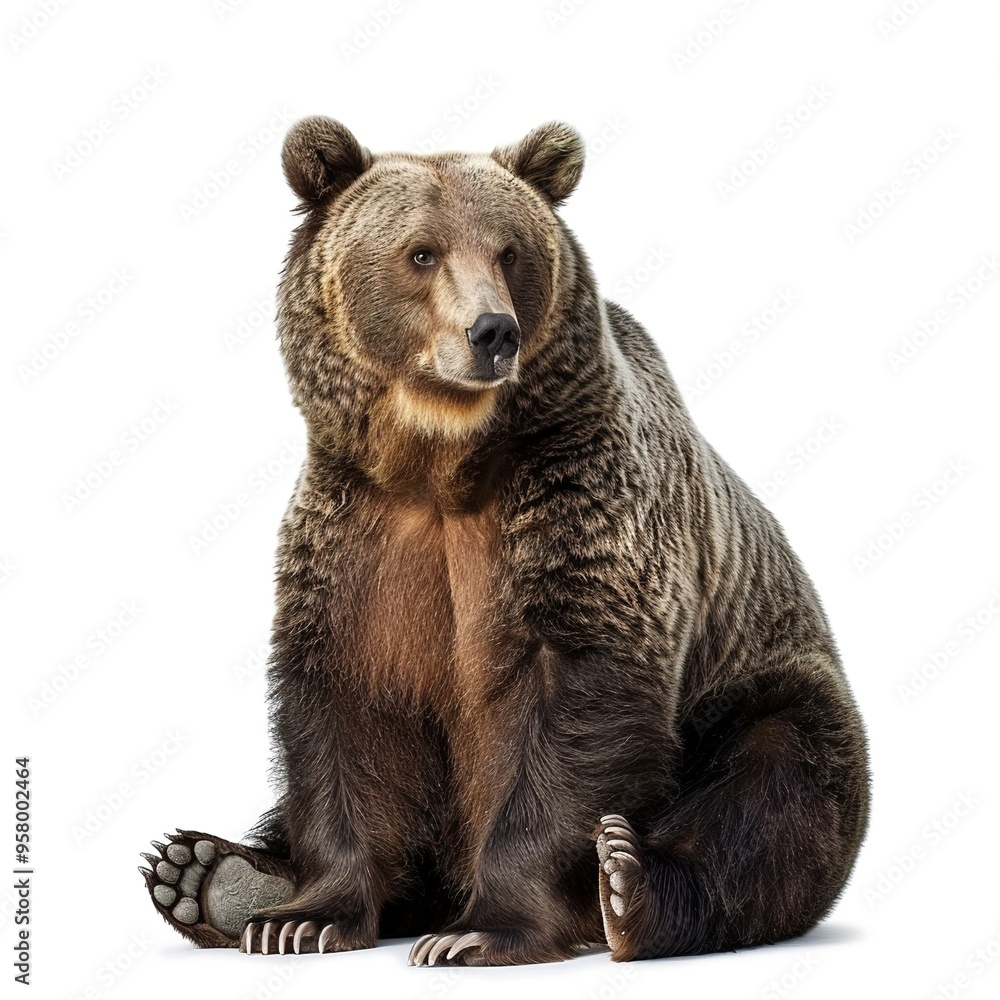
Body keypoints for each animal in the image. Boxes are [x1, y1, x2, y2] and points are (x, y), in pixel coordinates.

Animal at [140, 117, 870, 966]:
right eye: (422, 252)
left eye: (509, 251)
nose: (492, 331)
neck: (441, 464)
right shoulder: (355, 539)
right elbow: (342, 713)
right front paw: (300, 918)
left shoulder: (580, 513)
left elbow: (577, 705)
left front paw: (480, 929)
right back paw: (208, 873)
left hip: (760, 686)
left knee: (774, 787)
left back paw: (629, 889)